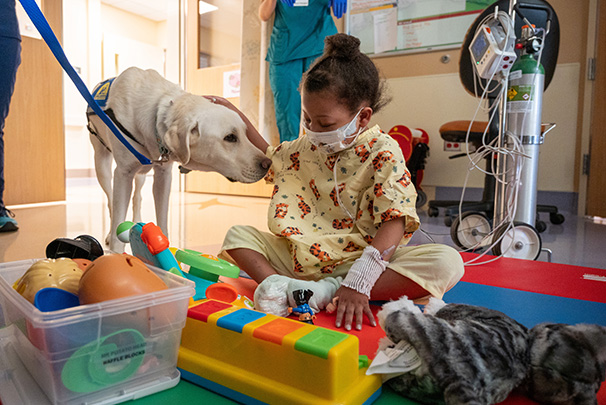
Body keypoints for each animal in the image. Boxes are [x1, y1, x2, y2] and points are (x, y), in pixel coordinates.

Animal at [86, 66, 272, 249]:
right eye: (230, 137)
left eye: (245, 133)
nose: (268, 163)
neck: (157, 114)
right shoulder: (124, 173)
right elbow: (117, 222)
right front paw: (116, 252)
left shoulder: (163, 175)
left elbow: (162, 220)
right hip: (102, 166)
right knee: (111, 199)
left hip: (141, 174)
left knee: (137, 196)